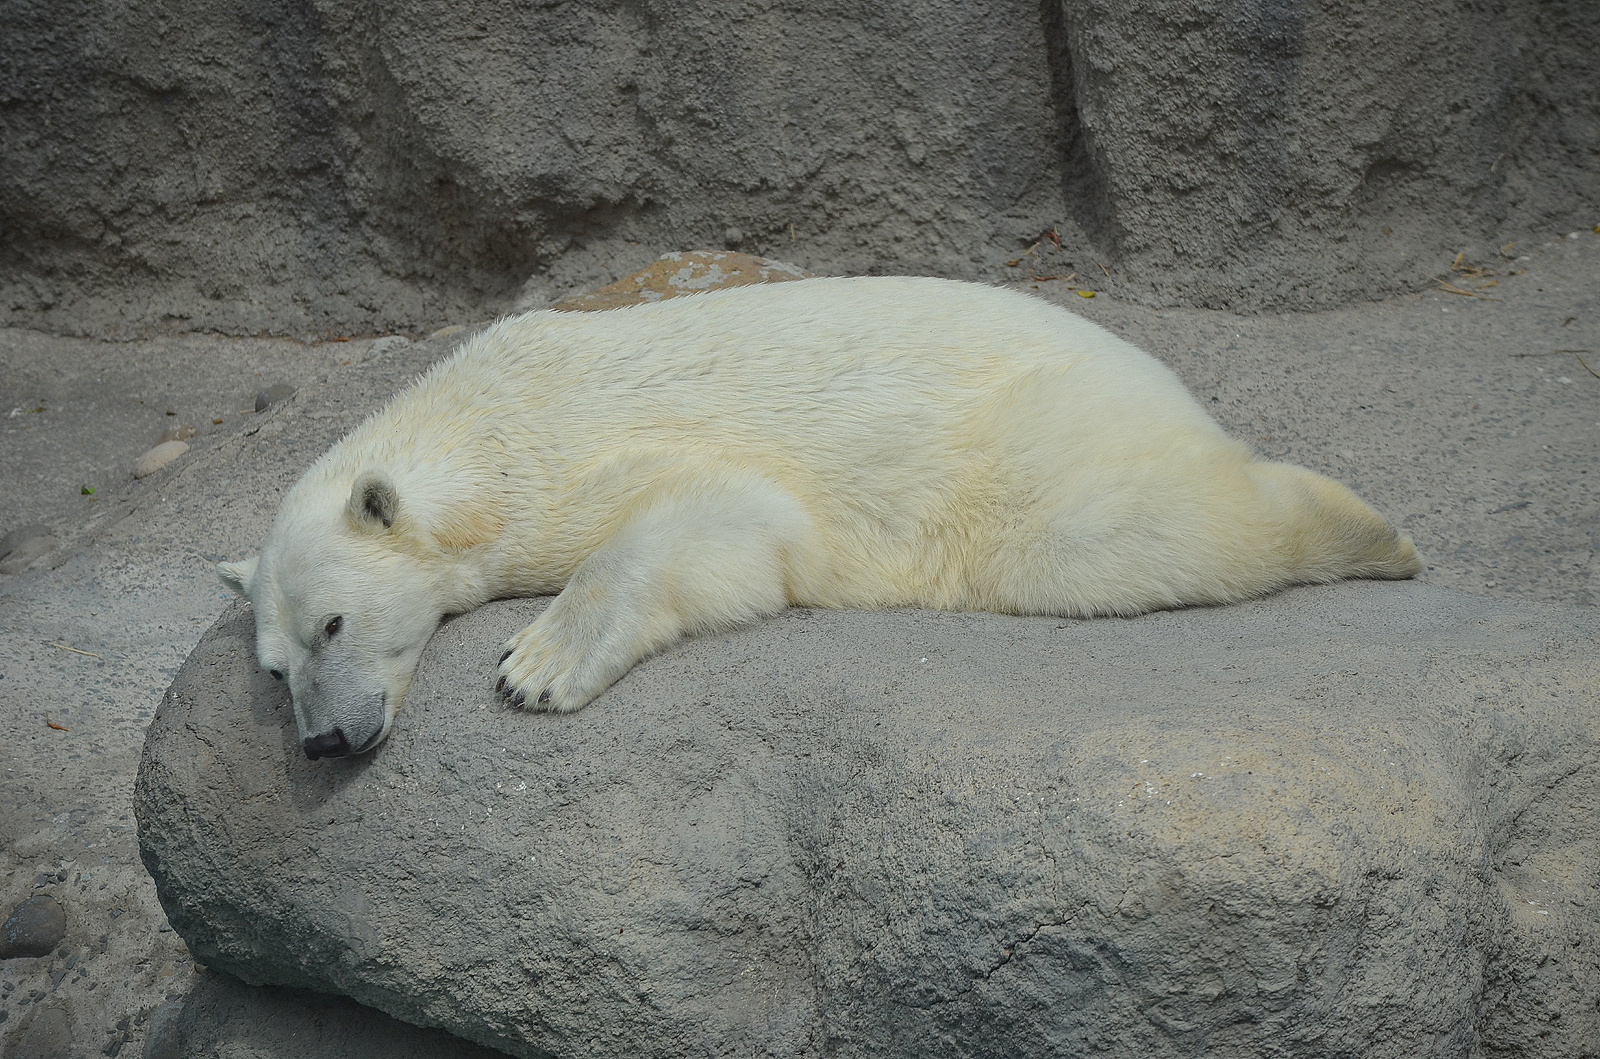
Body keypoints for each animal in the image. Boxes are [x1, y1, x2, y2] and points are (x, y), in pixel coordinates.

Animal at [216, 278, 1427, 758]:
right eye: (275, 670)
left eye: (333, 624)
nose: (325, 741)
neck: (489, 428)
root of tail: (1162, 381)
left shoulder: (582, 460)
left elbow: (716, 516)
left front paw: (535, 665)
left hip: (1030, 448)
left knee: (1126, 530)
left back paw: (1376, 535)